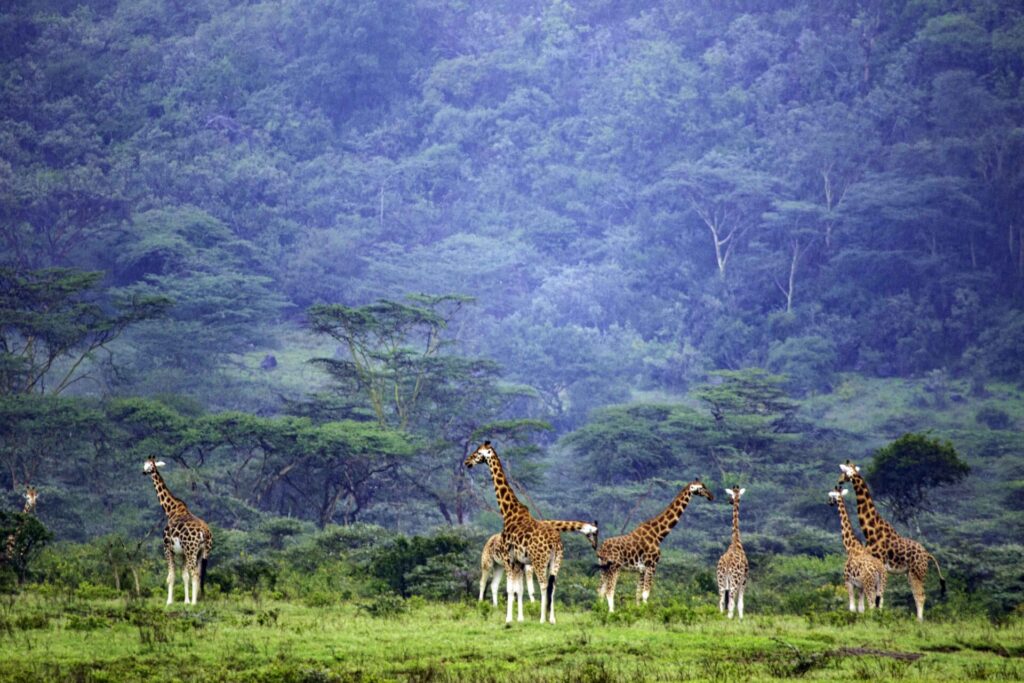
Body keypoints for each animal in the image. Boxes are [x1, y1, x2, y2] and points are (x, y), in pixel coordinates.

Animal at [143, 458, 213, 605]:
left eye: (148, 465)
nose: (143, 472)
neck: (171, 510)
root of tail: (204, 532)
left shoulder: (167, 548)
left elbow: (171, 576)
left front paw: (169, 602)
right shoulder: (182, 553)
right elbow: (184, 575)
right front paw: (186, 601)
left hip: (191, 551)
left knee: (195, 574)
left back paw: (194, 603)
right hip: (203, 552)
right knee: (200, 575)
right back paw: (198, 600)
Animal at [465, 441, 588, 624]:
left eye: (478, 452)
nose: (467, 462)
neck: (509, 512)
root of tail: (555, 542)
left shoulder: (509, 559)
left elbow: (510, 589)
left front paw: (509, 619)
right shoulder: (519, 562)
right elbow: (519, 589)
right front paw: (520, 618)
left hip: (538, 561)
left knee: (543, 585)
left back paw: (542, 619)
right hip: (555, 561)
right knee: (553, 585)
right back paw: (552, 619)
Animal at [596, 479, 712, 612]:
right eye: (702, 487)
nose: (711, 496)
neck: (658, 535)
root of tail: (601, 549)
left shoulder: (642, 569)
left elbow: (638, 594)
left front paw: (638, 611)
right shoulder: (651, 565)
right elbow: (645, 594)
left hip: (604, 567)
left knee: (600, 590)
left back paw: (599, 610)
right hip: (615, 567)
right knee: (609, 591)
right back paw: (611, 613)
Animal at [838, 460, 945, 621]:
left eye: (844, 473)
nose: (839, 481)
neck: (872, 530)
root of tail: (927, 555)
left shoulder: (881, 565)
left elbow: (879, 598)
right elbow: (878, 598)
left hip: (917, 572)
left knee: (920, 595)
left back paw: (919, 621)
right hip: (911, 573)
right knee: (917, 595)